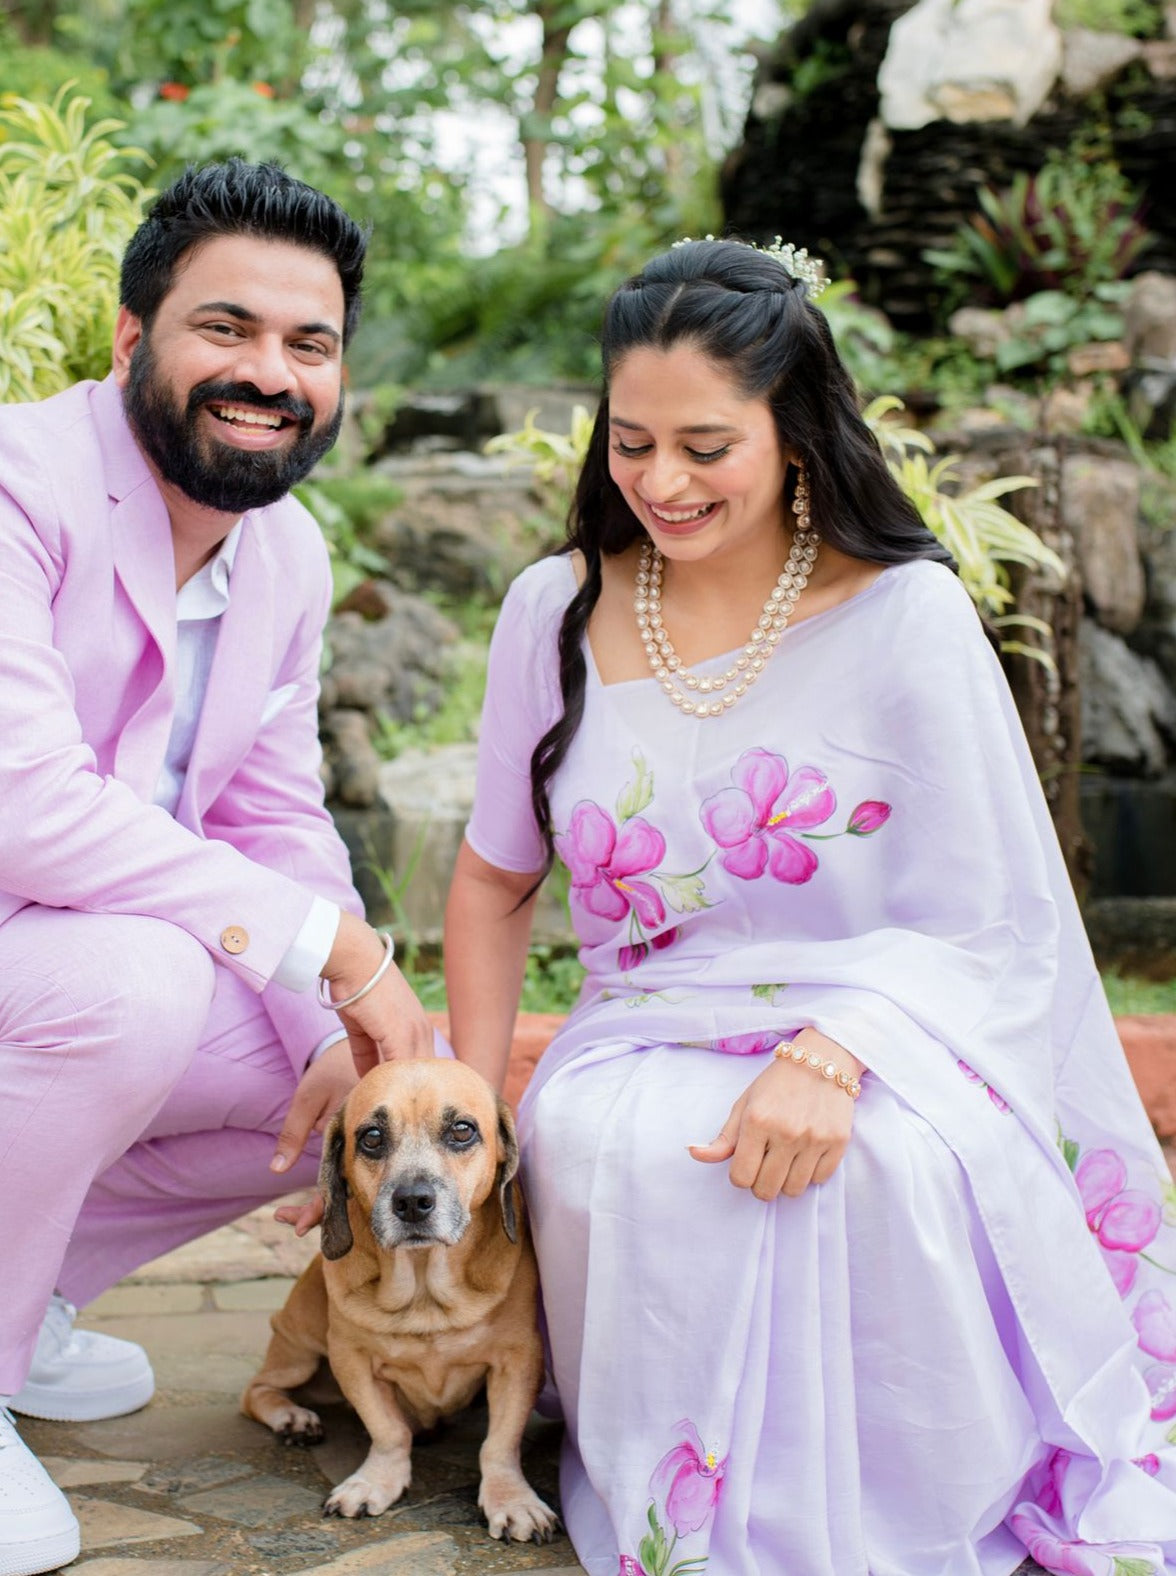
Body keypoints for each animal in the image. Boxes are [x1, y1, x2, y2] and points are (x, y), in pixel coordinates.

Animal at [241, 1052, 558, 1544]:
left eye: (462, 1130)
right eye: (371, 1137)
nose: (411, 1201)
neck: (425, 1290)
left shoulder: (518, 1361)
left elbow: (499, 1444)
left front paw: (512, 1500)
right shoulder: (351, 1360)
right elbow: (388, 1431)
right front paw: (376, 1481)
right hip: (299, 1349)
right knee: (258, 1390)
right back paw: (292, 1418)